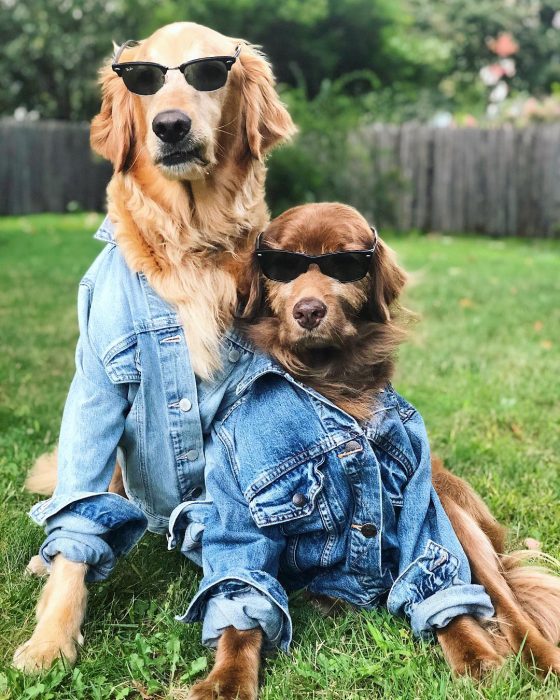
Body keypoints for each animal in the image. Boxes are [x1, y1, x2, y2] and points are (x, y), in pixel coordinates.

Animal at [186, 202, 560, 700]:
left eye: (346, 265)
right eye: (282, 266)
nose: (308, 310)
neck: (325, 382)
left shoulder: (419, 500)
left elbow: (437, 578)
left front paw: (474, 655)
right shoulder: (241, 503)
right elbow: (241, 591)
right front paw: (226, 677)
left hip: (455, 509)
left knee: (506, 600)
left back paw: (543, 660)